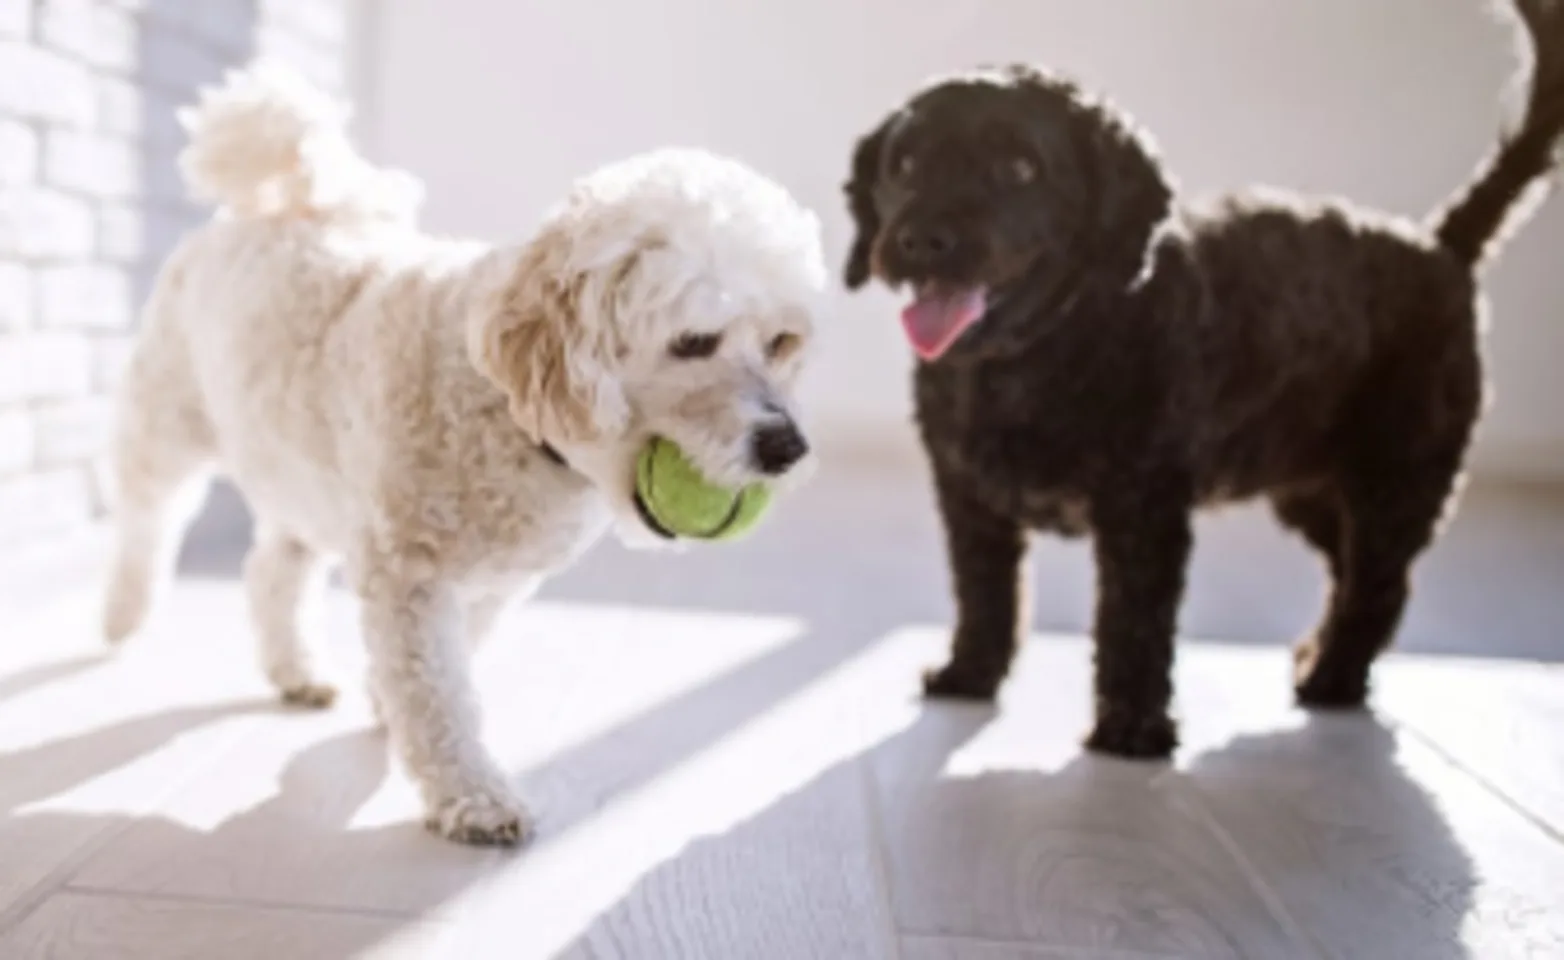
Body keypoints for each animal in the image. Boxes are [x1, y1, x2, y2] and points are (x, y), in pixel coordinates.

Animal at [99, 64, 832, 850]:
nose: (787, 446)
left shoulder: (493, 585)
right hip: (167, 419)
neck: (503, 404)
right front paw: (474, 797)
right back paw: (123, 614)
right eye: (695, 341)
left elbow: (447, 667)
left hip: (301, 471)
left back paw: (295, 668)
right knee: (145, 517)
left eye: (782, 342)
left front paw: (386, 705)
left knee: (274, 568)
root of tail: (267, 208)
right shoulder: (409, 573)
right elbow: (438, 696)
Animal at [844, 0, 1564, 762]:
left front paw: (1132, 729)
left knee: (1378, 586)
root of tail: (1440, 245)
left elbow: (1133, 621)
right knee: (1352, 575)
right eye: (905, 163)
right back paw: (1320, 655)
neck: (1030, 360)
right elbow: (985, 594)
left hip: (1396, 479)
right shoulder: (968, 500)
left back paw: (1333, 678)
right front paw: (970, 673)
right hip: (1312, 491)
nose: (921, 239)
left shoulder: (1144, 511)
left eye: (1019, 167)